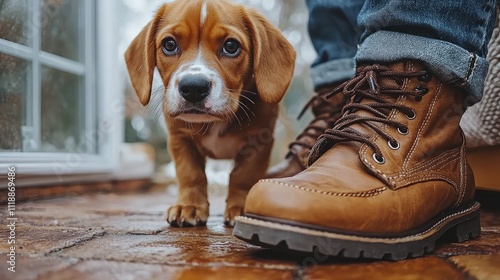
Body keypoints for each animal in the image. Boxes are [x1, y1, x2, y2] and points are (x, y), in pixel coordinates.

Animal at [125, 0, 294, 226]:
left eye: (231, 46)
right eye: (169, 45)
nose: (193, 87)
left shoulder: (258, 142)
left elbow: (243, 176)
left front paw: (240, 207)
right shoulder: (180, 140)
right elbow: (191, 174)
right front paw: (189, 206)